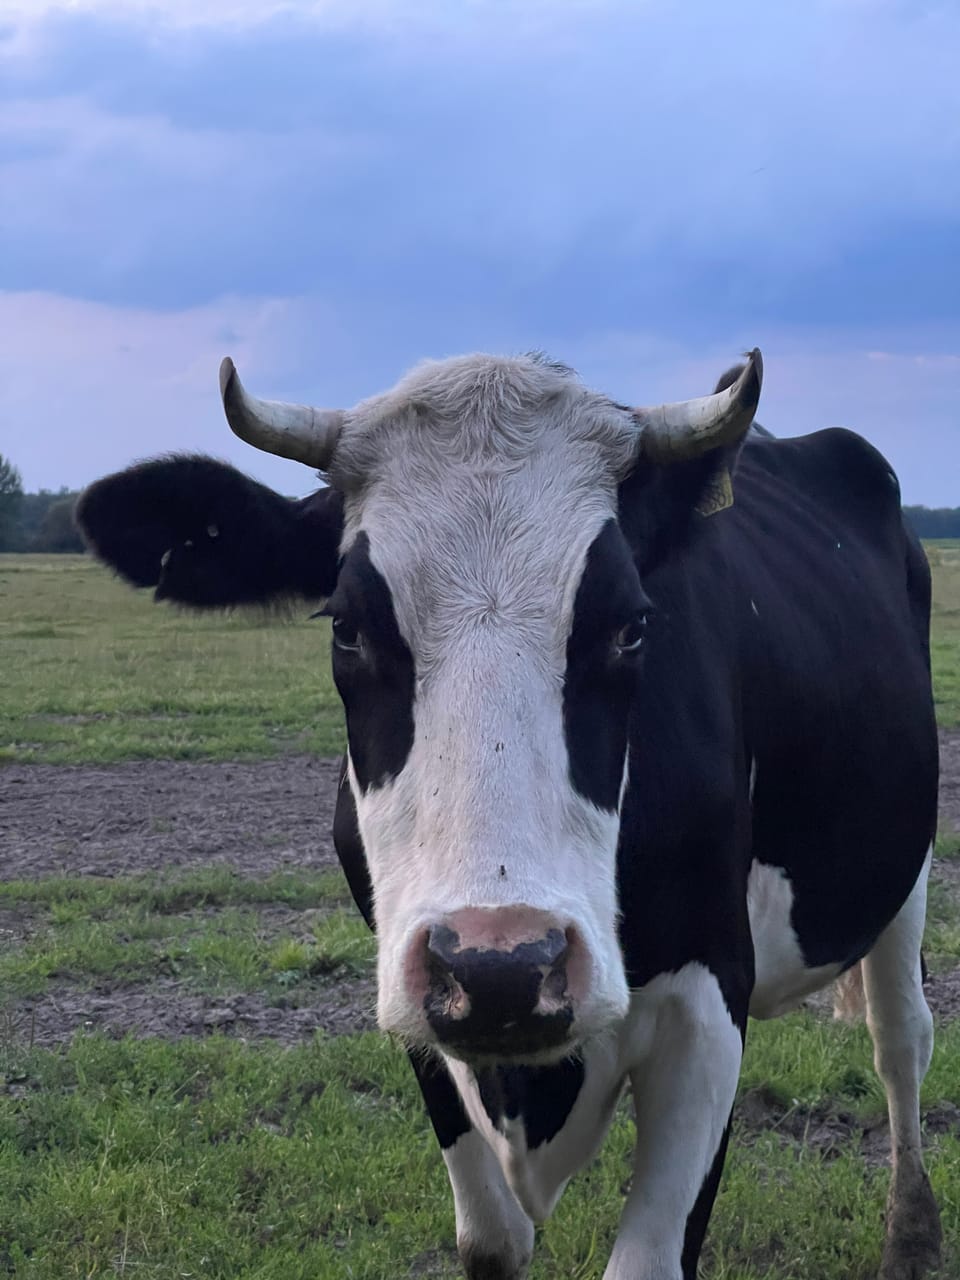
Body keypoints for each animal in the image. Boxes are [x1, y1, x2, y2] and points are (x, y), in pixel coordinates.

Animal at [77, 350, 947, 1280]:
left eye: (631, 626)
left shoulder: (711, 1000)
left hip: (907, 872)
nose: (502, 968)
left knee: (901, 1040)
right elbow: (491, 1240)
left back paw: (912, 1235)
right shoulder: (418, 1003)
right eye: (346, 627)